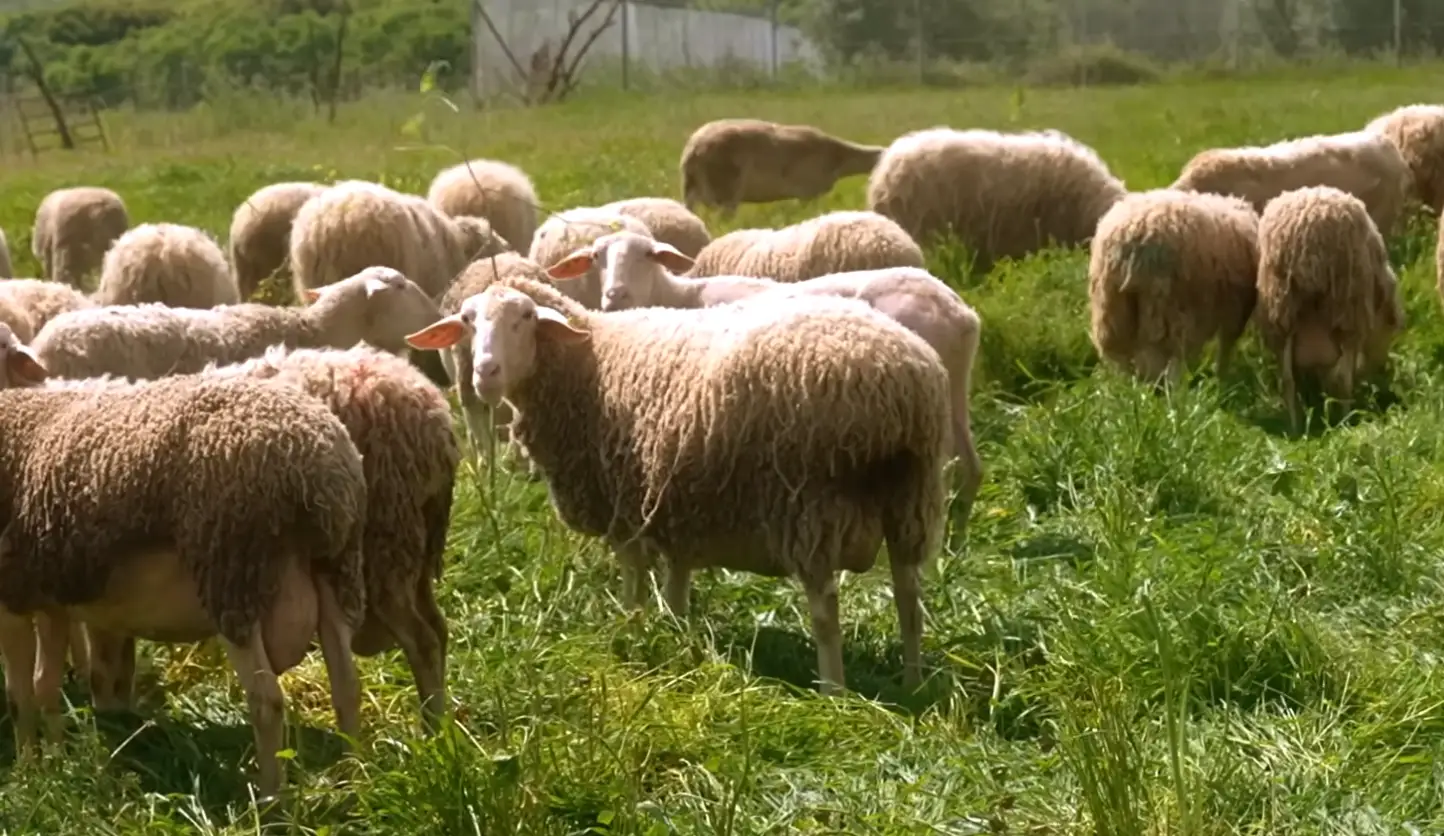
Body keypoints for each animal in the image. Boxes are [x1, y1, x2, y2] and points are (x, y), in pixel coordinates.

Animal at [0, 329, 368, 799]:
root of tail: (319, 463)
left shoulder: (11, 595)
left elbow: (20, 694)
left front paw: (29, 772)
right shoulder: (48, 596)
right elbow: (44, 685)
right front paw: (54, 766)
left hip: (233, 573)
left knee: (267, 700)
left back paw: (271, 799)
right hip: (336, 568)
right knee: (346, 685)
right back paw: (357, 777)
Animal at [404, 275, 952, 693]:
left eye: (524, 318)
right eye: (469, 321)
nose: (485, 372)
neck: (589, 357)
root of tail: (899, 378)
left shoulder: (624, 500)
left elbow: (634, 576)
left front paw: (631, 629)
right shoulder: (677, 499)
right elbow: (677, 578)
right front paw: (675, 632)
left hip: (811, 502)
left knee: (826, 610)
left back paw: (833, 691)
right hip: (912, 497)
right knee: (909, 596)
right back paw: (913, 681)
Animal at [550, 229, 984, 527]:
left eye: (648, 255)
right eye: (596, 258)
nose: (614, 296)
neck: (678, 298)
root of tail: (959, 313)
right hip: (952, 391)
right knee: (970, 465)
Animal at [1087, 189, 1261, 383]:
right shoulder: (1235, 311)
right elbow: (1226, 347)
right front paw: (1221, 378)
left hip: (1111, 309)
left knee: (1118, 358)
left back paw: (1126, 385)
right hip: (1169, 310)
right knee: (1166, 364)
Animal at [1255, 186, 1403, 432]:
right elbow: (1343, 375)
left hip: (1282, 310)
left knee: (1287, 379)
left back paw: (1295, 426)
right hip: (1347, 308)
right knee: (1342, 378)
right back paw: (1345, 421)